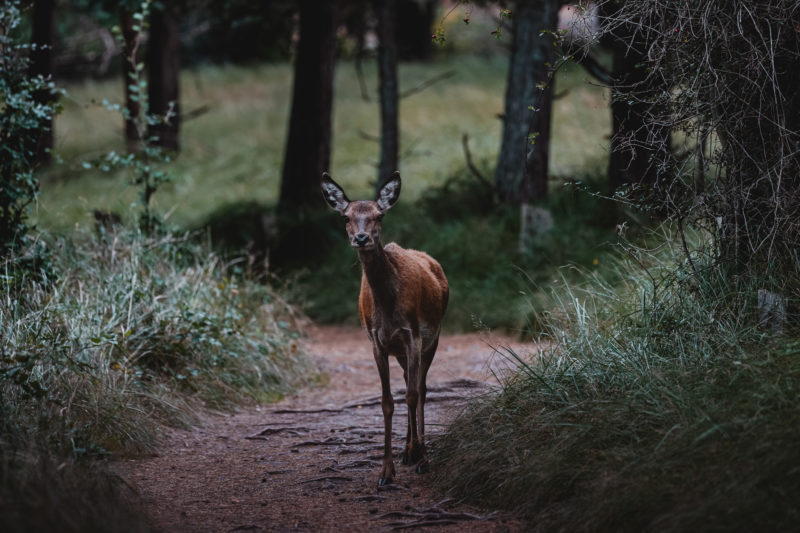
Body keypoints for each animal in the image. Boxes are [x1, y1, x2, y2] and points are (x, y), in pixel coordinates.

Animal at [324, 171, 450, 486]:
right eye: (345, 217)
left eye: (379, 215)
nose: (361, 238)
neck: (388, 309)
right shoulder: (376, 341)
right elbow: (387, 401)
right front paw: (386, 471)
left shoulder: (414, 335)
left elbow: (413, 395)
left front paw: (422, 457)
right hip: (401, 352)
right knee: (408, 382)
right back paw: (407, 451)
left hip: (434, 338)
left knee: (421, 388)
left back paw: (417, 452)